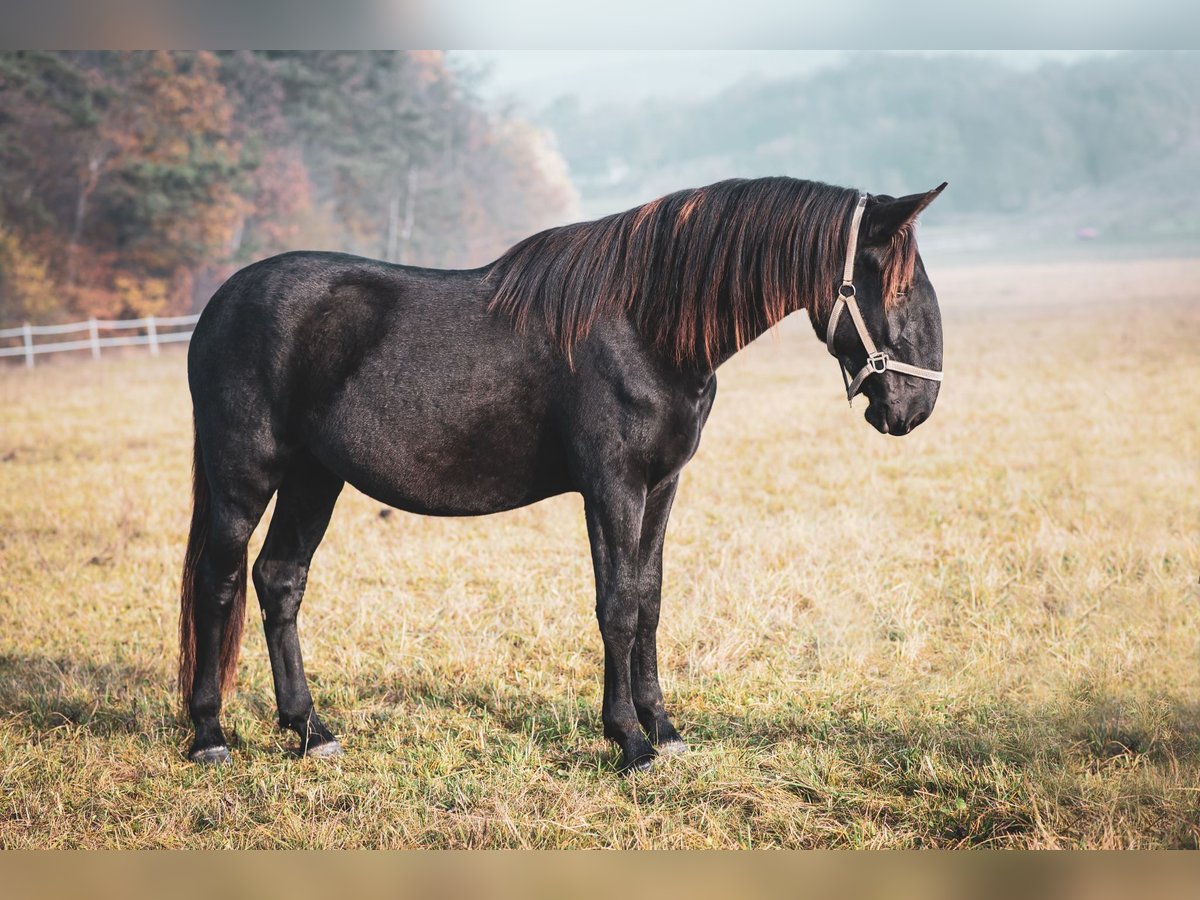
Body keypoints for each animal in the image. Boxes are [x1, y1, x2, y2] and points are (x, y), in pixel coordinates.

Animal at [177, 177, 945, 777]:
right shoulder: (612, 487)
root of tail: (218, 304)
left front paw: (663, 729)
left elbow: (650, 599)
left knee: (279, 581)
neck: (645, 326)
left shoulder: (661, 486)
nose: (916, 407)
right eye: (898, 289)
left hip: (315, 478)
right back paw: (210, 735)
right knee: (219, 583)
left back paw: (310, 731)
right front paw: (629, 741)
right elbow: (617, 605)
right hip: (245, 477)